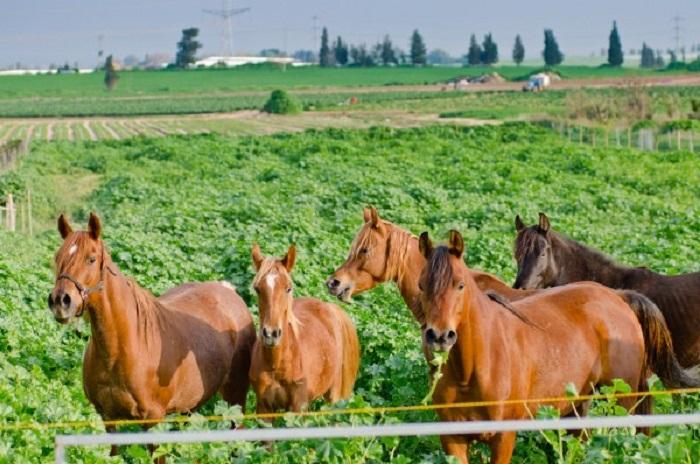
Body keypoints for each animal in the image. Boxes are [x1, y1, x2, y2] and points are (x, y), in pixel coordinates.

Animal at [49, 215, 258, 456]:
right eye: (57, 257)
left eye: (91, 259)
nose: (60, 301)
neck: (120, 351)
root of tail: (229, 292)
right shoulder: (108, 418)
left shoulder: (153, 421)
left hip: (235, 399)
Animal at [250, 245, 360, 412]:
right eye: (257, 288)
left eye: (288, 288)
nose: (271, 334)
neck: (277, 364)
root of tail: (331, 308)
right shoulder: (264, 407)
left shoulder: (298, 407)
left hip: (334, 396)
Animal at [416, 229, 696, 464]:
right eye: (421, 285)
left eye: (460, 285)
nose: (439, 336)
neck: (474, 368)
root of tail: (618, 296)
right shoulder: (453, 440)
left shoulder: (503, 437)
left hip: (621, 399)